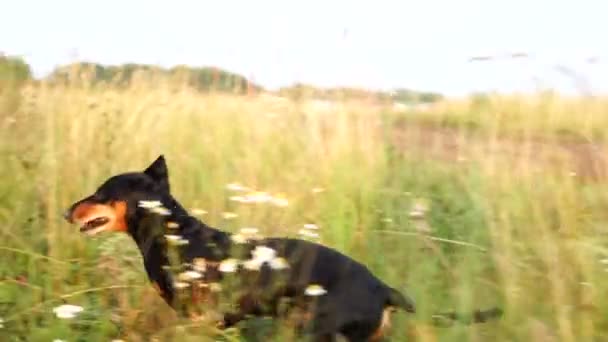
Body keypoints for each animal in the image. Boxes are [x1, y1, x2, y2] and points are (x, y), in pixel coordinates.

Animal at [63, 156, 504, 340]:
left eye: (101, 192)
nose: (67, 211)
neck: (175, 235)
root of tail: (384, 289)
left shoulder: (201, 320)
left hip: (312, 332)